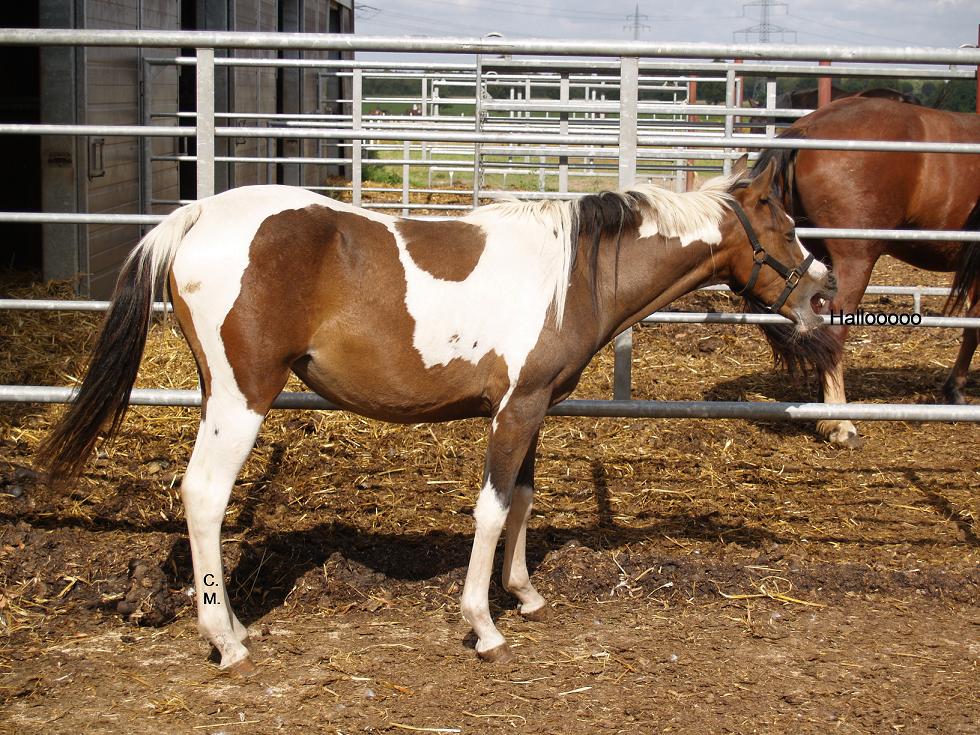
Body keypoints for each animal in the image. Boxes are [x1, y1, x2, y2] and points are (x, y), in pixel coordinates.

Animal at [40, 161, 836, 672]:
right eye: (784, 226)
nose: (822, 293)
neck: (569, 272)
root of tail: (198, 214)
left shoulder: (533, 408)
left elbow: (523, 499)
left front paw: (525, 594)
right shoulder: (514, 411)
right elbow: (490, 509)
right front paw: (482, 624)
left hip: (218, 394)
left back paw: (234, 625)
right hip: (241, 398)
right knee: (204, 496)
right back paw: (227, 640)